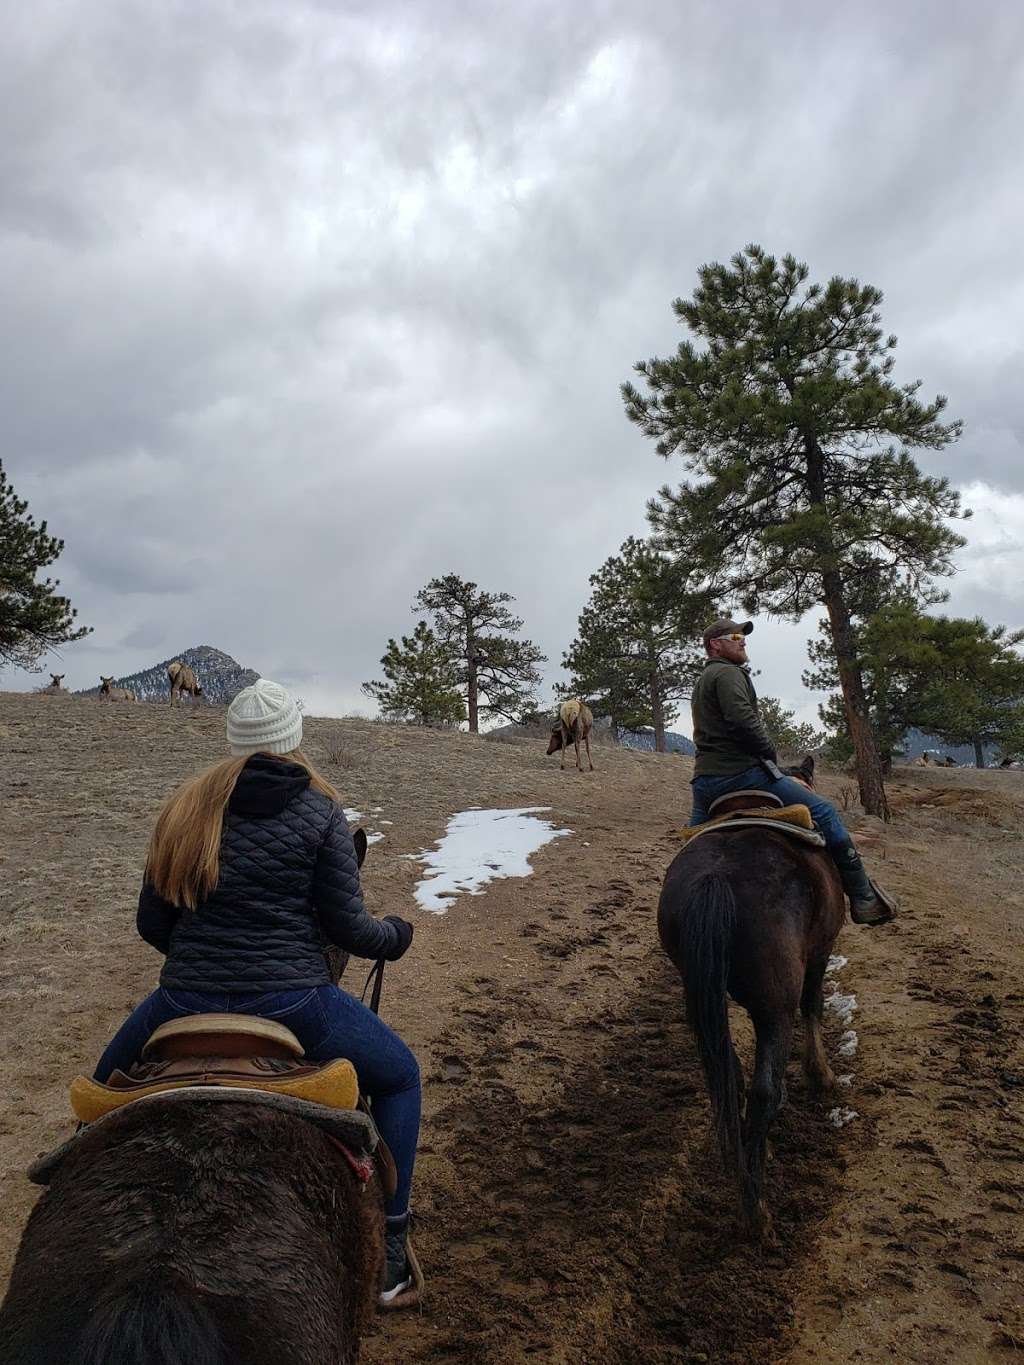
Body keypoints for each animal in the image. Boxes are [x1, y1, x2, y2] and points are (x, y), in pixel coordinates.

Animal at [660, 758, 846, 1239]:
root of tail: (717, 877)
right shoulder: (821, 951)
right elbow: (814, 1006)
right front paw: (821, 1074)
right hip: (775, 1008)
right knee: (763, 1088)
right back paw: (756, 1211)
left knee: (729, 1076)